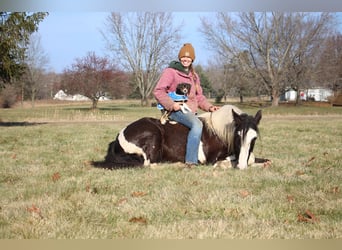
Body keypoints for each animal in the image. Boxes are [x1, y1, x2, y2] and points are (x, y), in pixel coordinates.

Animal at [92, 103, 268, 170]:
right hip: (153, 136)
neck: (218, 132)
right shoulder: (212, 158)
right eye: (237, 136)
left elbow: (254, 158)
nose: (242, 167)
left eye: (254, 138)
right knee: (148, 164)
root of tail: (118, 137)